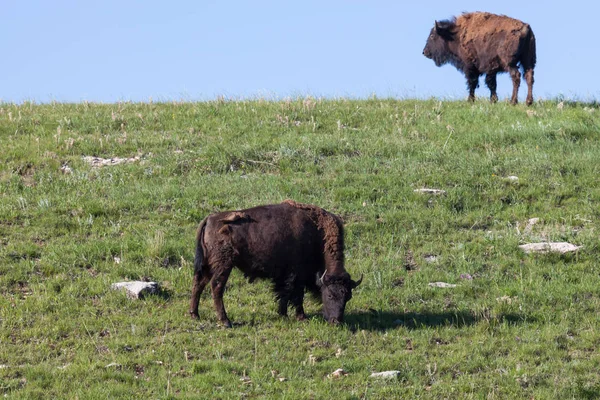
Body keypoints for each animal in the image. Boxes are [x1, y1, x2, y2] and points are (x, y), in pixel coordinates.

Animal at [190, 200, 360, 328]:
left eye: (348, 296)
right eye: (330, 294)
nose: (336, 321)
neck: (318, 232)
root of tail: (210, 219)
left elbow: (284, 294)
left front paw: (283, 314)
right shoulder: (297, 275)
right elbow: (295, 295)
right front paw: (300, 317)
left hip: (208, 265)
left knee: (199, 283)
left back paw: (195, 315)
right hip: (224, 265)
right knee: (216, 287)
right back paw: (225, 321)